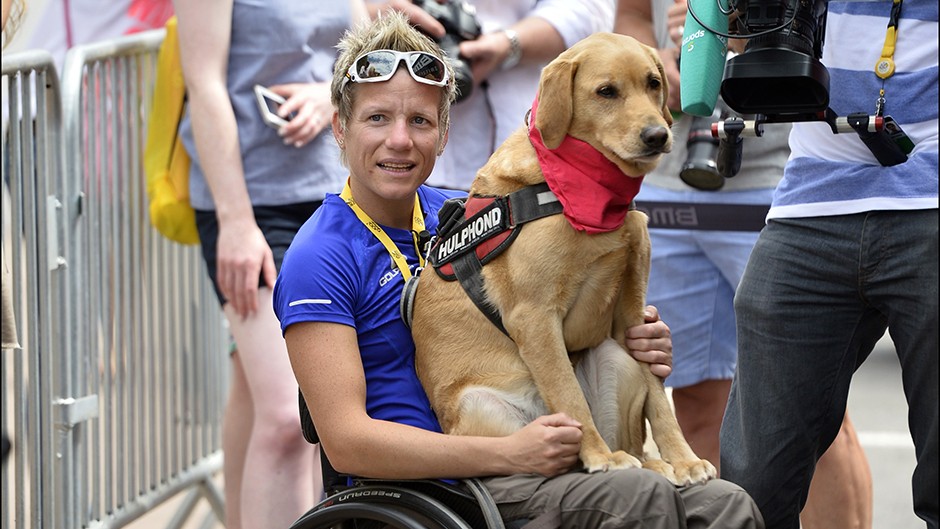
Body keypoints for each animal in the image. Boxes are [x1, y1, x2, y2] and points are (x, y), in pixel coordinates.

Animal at [412, 29, 712, 482]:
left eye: (653, 83)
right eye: (606, 92)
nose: (657, 136)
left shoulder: (631, 316)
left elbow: (659, 399)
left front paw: (684, 458)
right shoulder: (533, 317)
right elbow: (569, 397)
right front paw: (600, 456)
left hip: (616, 356)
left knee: (633, 439)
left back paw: (654, 463)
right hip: (480, 404)